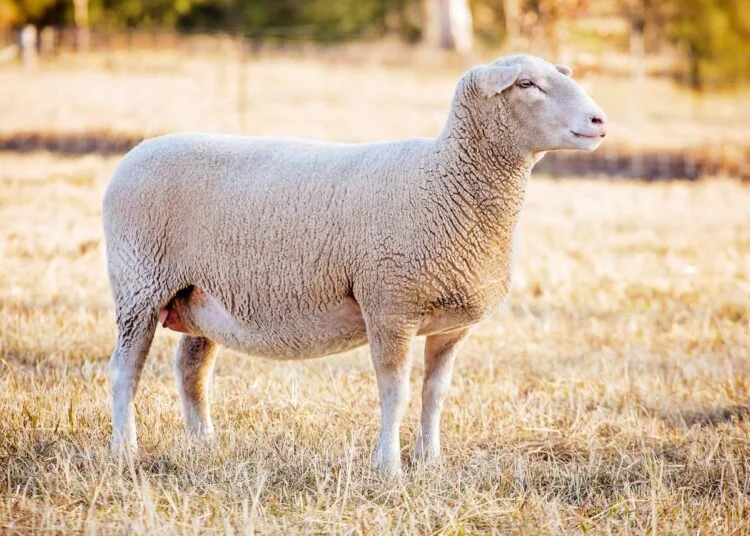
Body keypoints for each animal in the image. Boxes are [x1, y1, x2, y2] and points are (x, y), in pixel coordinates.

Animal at [103, 54, 607, 474]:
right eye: (526, 84)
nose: (599, 120)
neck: (445, 178)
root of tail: (136, 152)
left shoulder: (451, 325)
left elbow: (436, 393)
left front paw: (430, 461)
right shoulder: (390, 305)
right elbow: (396, 391)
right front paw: (389, 467)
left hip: (199, 296)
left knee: (191, 369)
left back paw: (204, 444)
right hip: (139, 284)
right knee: (125, 370)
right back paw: (125, 451)